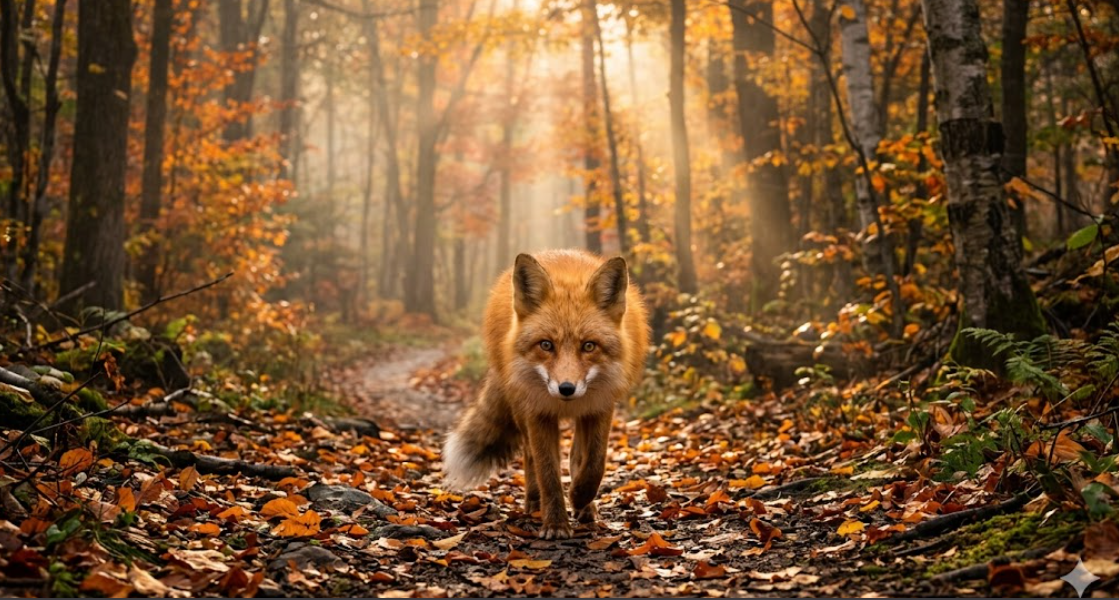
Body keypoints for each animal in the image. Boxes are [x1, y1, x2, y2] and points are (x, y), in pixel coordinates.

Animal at [442, 249, 649, 539]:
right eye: (546, 345)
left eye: (589, 346)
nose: (566, 388)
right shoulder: (537, 413)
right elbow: (548, 472)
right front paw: (556, 524)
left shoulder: (600, 407)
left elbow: (594, 464)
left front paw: (580, 497)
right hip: (520, 410)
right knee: (529, 456)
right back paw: (533, 501)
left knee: (576, 456)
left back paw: (585, 506)